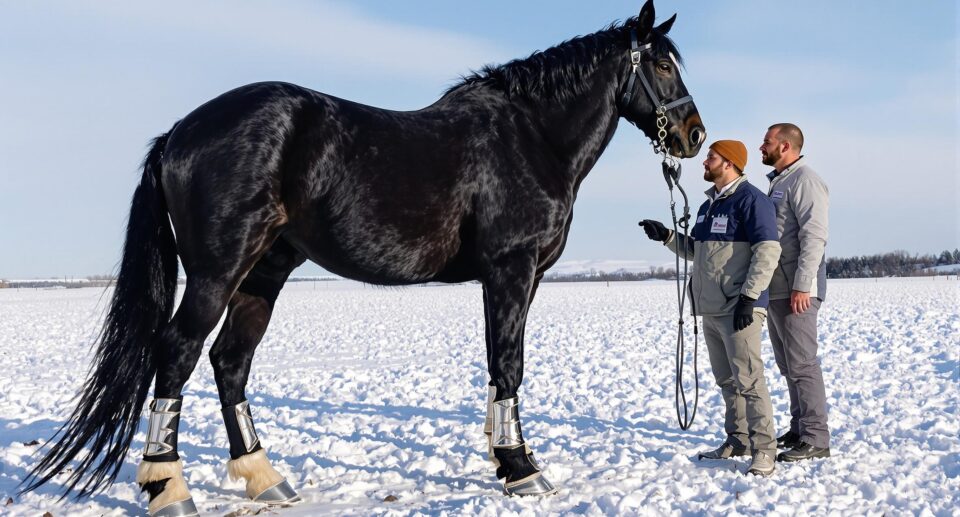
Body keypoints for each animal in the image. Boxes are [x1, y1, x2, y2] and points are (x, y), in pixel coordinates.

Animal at [22, 1, 703, 513]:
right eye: (661, 63)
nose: (694, 135)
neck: (530, 136)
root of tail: (179, 134)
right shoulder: (511, 269)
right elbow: (508, 363)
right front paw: (521, 468)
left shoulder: (522, 277)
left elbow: (499, 364)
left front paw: (502, 455)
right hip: (218, 272)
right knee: (178, 352)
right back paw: (169, 488)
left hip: (264, 273)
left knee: (229, 360)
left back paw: (265, 478)